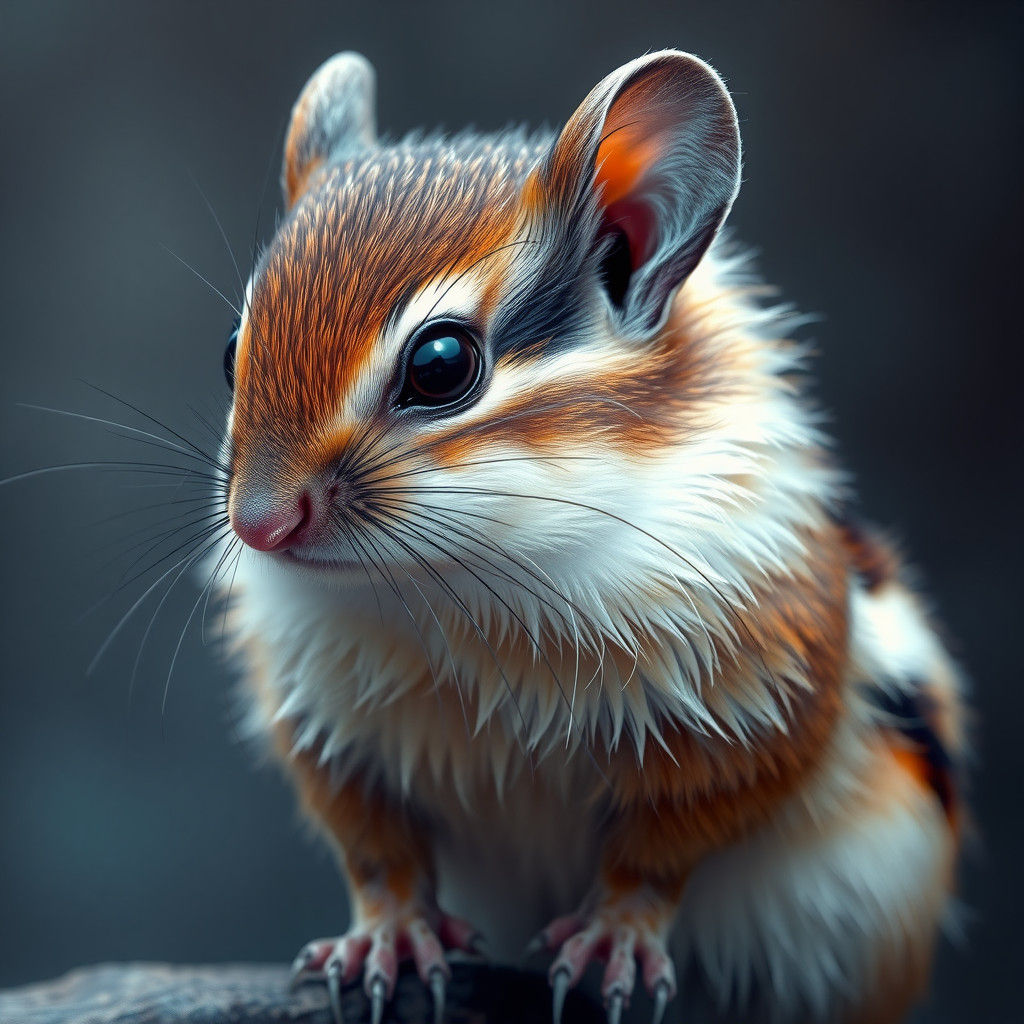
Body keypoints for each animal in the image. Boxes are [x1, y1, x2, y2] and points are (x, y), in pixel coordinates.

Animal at [214, 50, 966, 1024]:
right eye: (231, 352)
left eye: (441, 365)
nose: (259, 524)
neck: (460, 578)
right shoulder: (324, 728)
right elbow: (376, 850)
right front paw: (389, 933)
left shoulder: (757, 712)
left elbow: (661, 850)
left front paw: (618, 934)